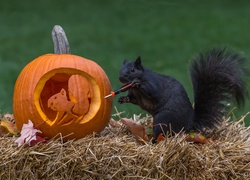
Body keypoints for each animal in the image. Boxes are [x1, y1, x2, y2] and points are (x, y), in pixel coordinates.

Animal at [118, 47, 249, 140]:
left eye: (132, 70)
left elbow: (152, 91)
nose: (120, 78)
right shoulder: (135, 96)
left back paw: (154, 140)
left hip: (163, 118)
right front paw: (122, 99)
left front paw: (137, 82)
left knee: (164, 134)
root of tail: (189, 125)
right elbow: (133, 99)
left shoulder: (154, 84)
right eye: (120, 69)